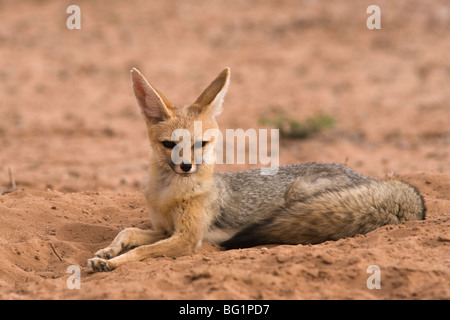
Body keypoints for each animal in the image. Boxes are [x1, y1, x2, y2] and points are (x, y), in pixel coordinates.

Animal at [87, 67, 426, 272]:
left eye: (201, 143)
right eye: (170, 144)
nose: (186, 166)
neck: (167, 194)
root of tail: (373, 179)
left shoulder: (186, 239)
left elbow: (142, 252)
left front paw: (114, 262)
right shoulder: (163, 229)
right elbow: (128, 231)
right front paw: (108, 251)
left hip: (300, 194)